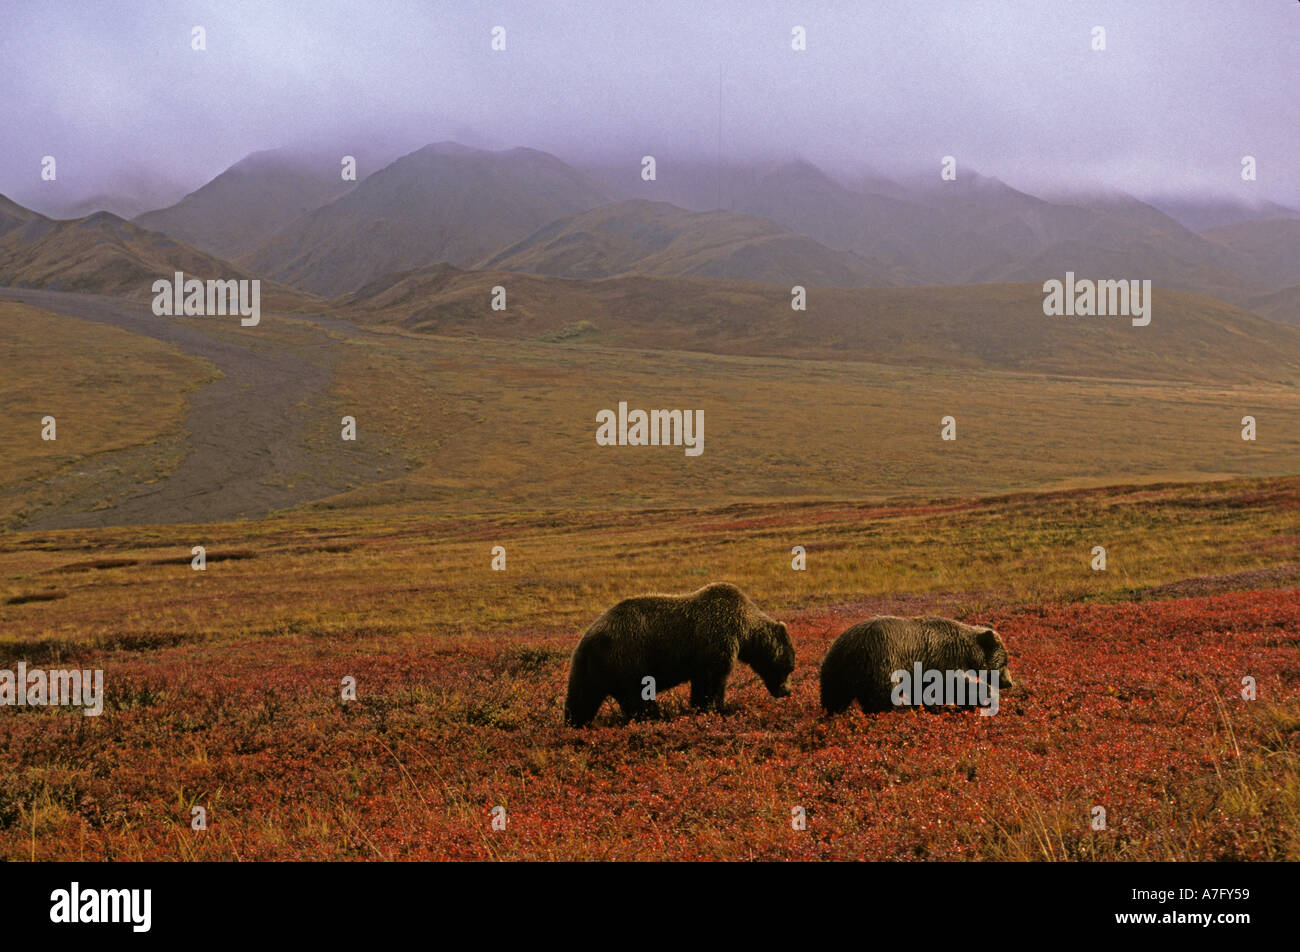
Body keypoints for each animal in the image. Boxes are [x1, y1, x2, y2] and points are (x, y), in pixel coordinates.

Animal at [564, 580, 795, 728]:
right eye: (790, 667)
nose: (787, 692)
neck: (744, 631)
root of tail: (587, 638)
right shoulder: (716, 640)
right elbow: (710, 682)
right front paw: (711, 709)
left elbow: (709, 683)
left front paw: (714, 707)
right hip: (627, 659)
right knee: (637, 699)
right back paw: (654, 717)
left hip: (590, 668)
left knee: (582, 697)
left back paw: (574, 723)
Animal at [821, 616, 1013, 712]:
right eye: (1004, 662)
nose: (1009, 682)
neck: (967, 652)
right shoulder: (942, 659)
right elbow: (950, 686)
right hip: (881, 660)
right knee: (880, 696)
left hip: (835, 669)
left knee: (834, 697)